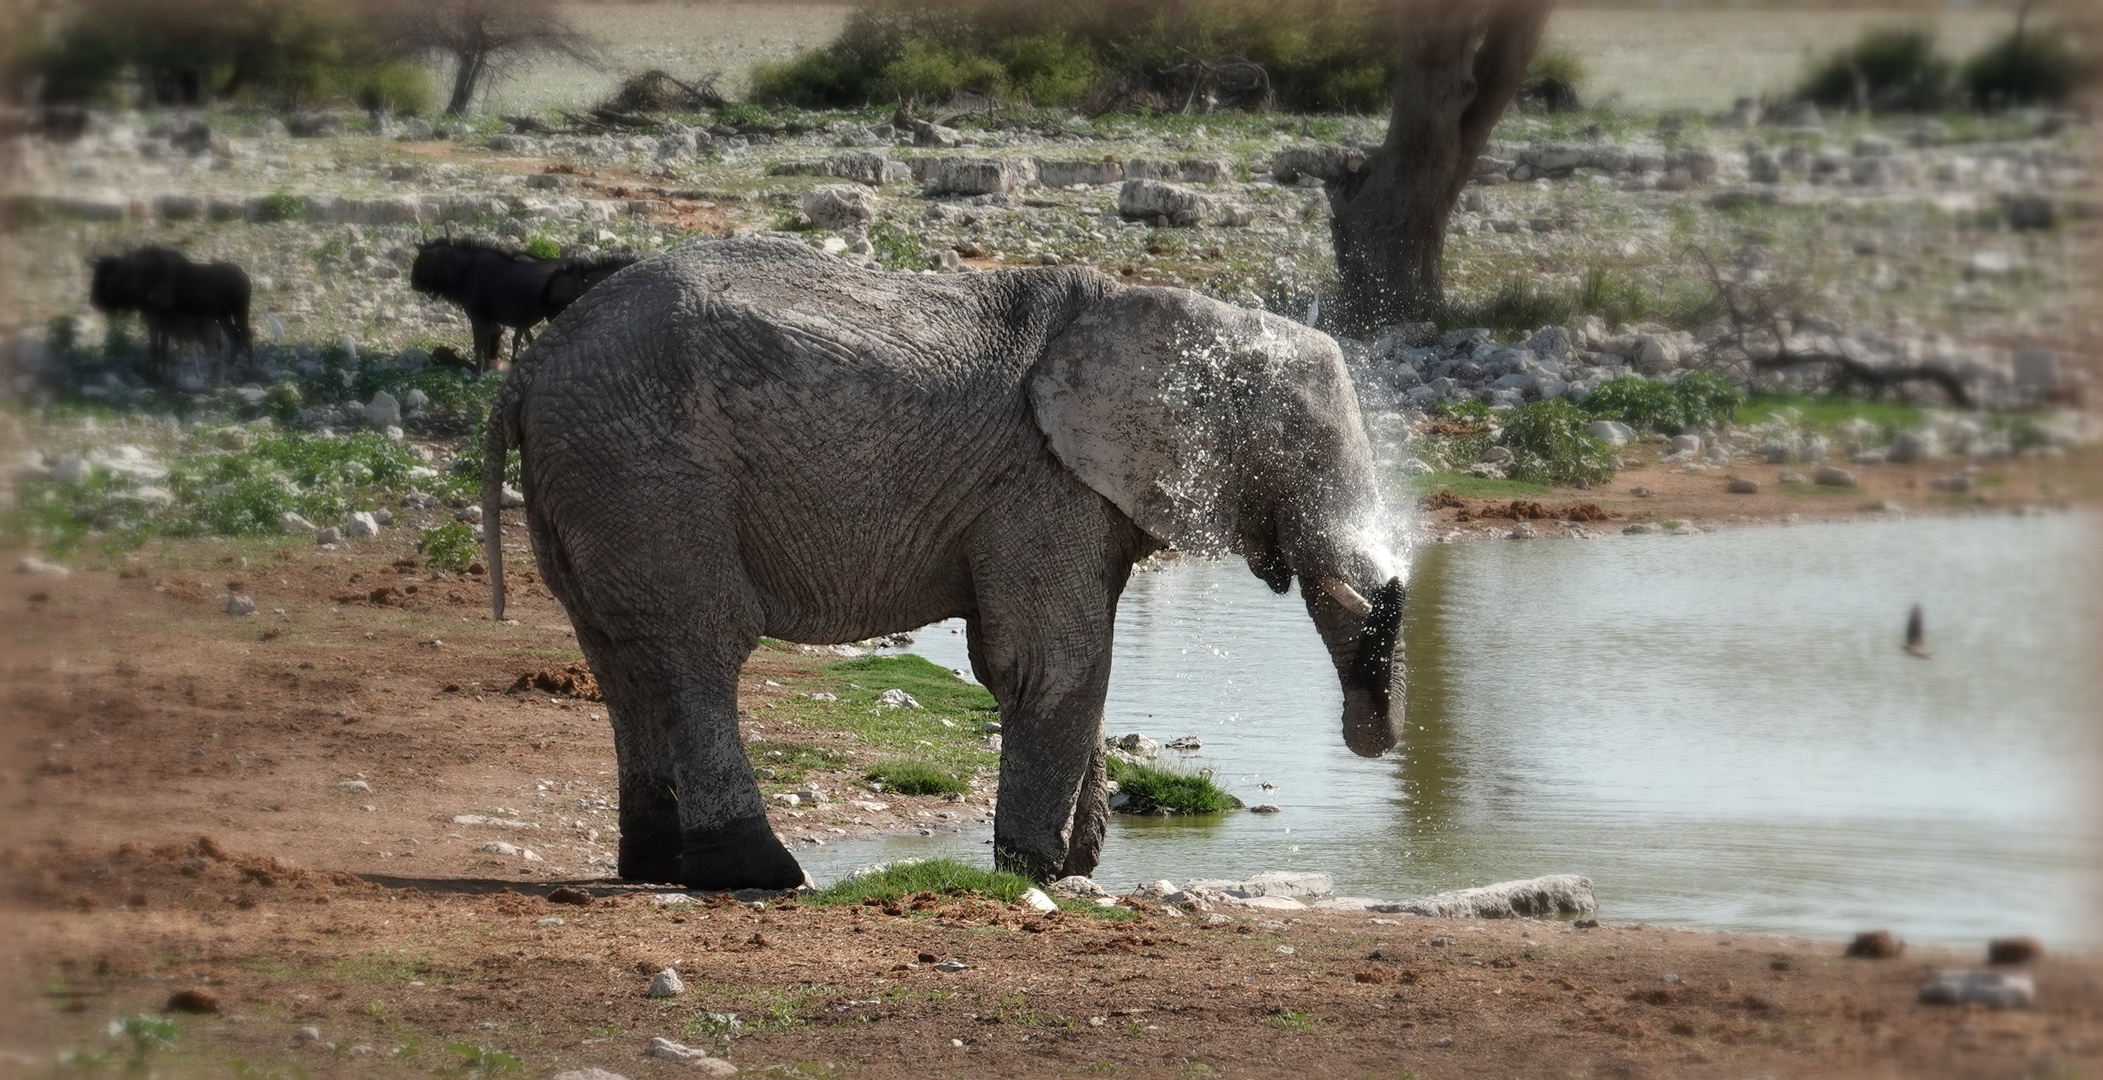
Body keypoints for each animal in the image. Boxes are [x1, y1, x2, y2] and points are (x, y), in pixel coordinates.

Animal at [481, 239, 1404, 886]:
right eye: (1299, 457)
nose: (1372, 736)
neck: (1179, 316)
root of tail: (530, 368)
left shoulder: (1072, 491)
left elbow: (1059, 663)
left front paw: (1078, 869)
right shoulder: (1039, 480)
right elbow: (1050, 661)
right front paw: (1037, 872)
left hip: (597, 473)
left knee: (617, 655)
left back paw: (654, 867)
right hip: (649, 464)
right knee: (697, 643)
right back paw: (756, 873)